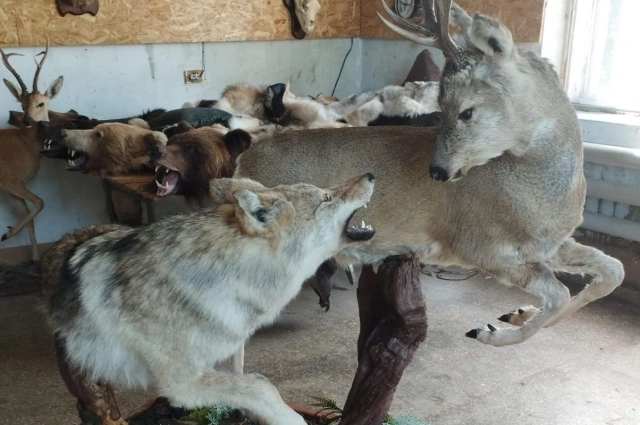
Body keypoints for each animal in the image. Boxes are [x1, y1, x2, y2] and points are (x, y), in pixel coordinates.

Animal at [0, 43, 63, 262]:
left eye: (40, 103)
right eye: (22, 105)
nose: (27, 120)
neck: (26, 145)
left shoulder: (11, 188)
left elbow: (30, 216)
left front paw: (35, 256)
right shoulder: (9, 180)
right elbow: (40, 202)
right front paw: (6, 234)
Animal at [41, 173, 376, 424]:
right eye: (326, 198)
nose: (370, 174)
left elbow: (246, 382)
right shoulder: (183, 382)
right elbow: (261, 385)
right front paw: (291, 420)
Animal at [236, 0, 624, 344]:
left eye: (466, 110)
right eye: (440, 105)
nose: (437, 170)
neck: (544, 196)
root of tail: (244, 161)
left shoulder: (548, 244)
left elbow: (611, 271)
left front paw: (516, 313)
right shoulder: (480, 246)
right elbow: (558, 294)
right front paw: (488, 332)